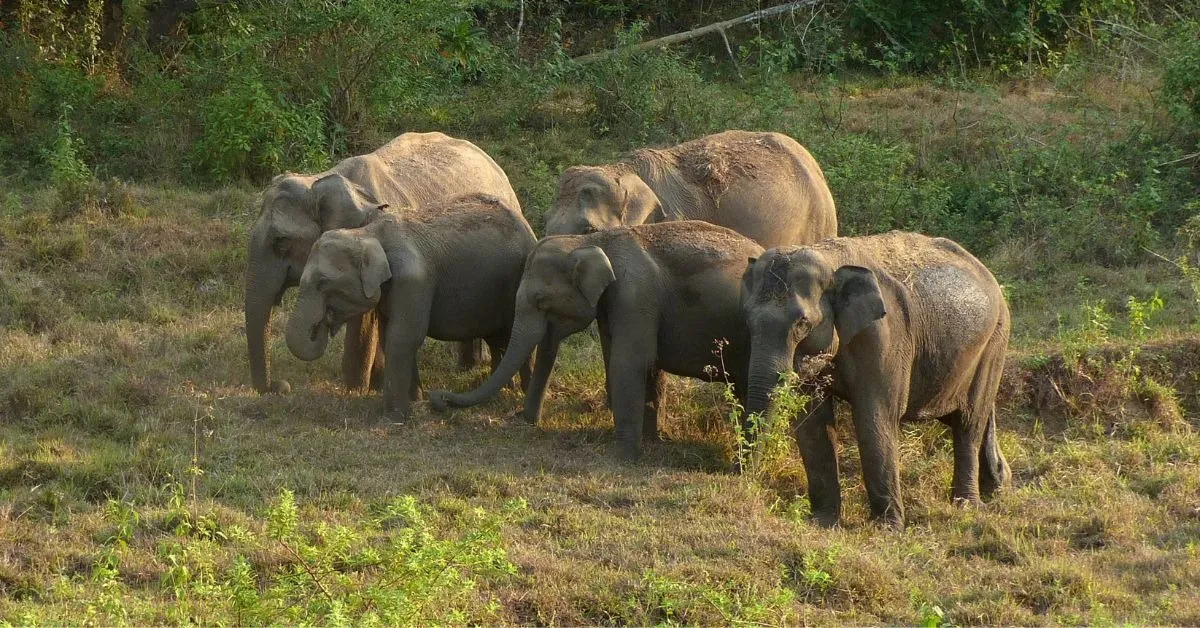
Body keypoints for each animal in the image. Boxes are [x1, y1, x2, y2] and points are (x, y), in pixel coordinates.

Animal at [246, 132, 521, 395]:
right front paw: (375, 385)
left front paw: (355, 391)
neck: (322, 180)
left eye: (280, 241)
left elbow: (365, 321)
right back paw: (467, 367)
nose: (279, 386)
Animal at [284, 193, 537, 421]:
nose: (321, 324)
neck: (369, 233)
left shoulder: (413, 281)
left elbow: (403, 337)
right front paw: (415, 402)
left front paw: (392, 418)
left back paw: (522, 394)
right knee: (499, 340)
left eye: (323, 282)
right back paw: (504, 394)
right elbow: (389, 336)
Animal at [429, 220, 765, 459]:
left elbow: (630, 361)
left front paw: (626, 457)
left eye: (541, 301)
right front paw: (652, 442)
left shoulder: (635, 295)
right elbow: (644, 362)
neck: (593, 240)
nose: (438, 400)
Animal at [740, 231, 1013, 528]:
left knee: (968, 421)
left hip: (994, 342)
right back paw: (998, 484)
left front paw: (887, 528)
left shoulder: (883, 337)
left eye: (802, 323)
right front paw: (822, 522)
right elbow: (813, 422)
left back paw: (967, 506)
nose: (746, 478)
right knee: (962, 415)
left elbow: (875, 416)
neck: (830, 260)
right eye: (747, 319)